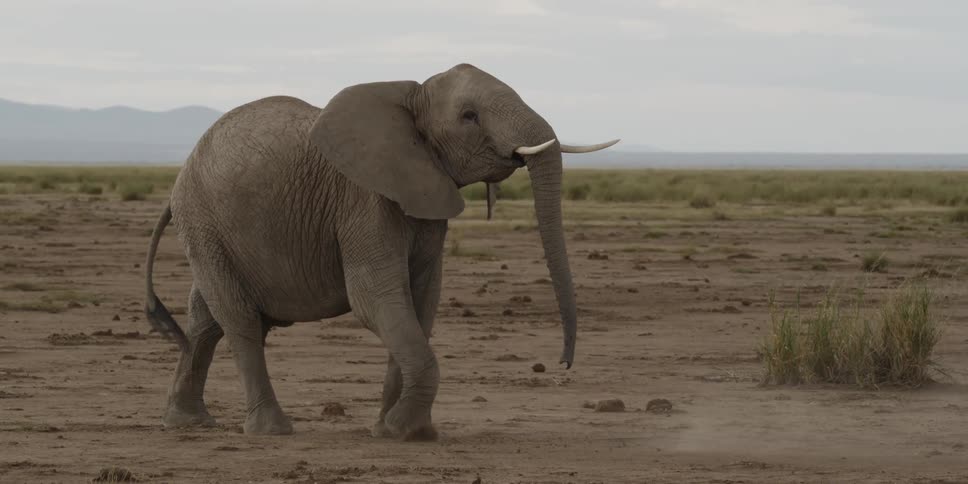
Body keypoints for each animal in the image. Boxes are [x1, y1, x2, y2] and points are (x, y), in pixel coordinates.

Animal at [143, 63, 619, 440]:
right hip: (203, 222)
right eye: (469, 116)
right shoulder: (363, 199)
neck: (411, 98)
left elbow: (420, 302)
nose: (563, 364)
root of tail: (181, 175)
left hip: (212, 231)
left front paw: (391, 430)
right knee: (239, 321)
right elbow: (376, 299)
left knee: (206, 320)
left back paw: (187, 423)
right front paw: (407, 432)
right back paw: (270, 431)